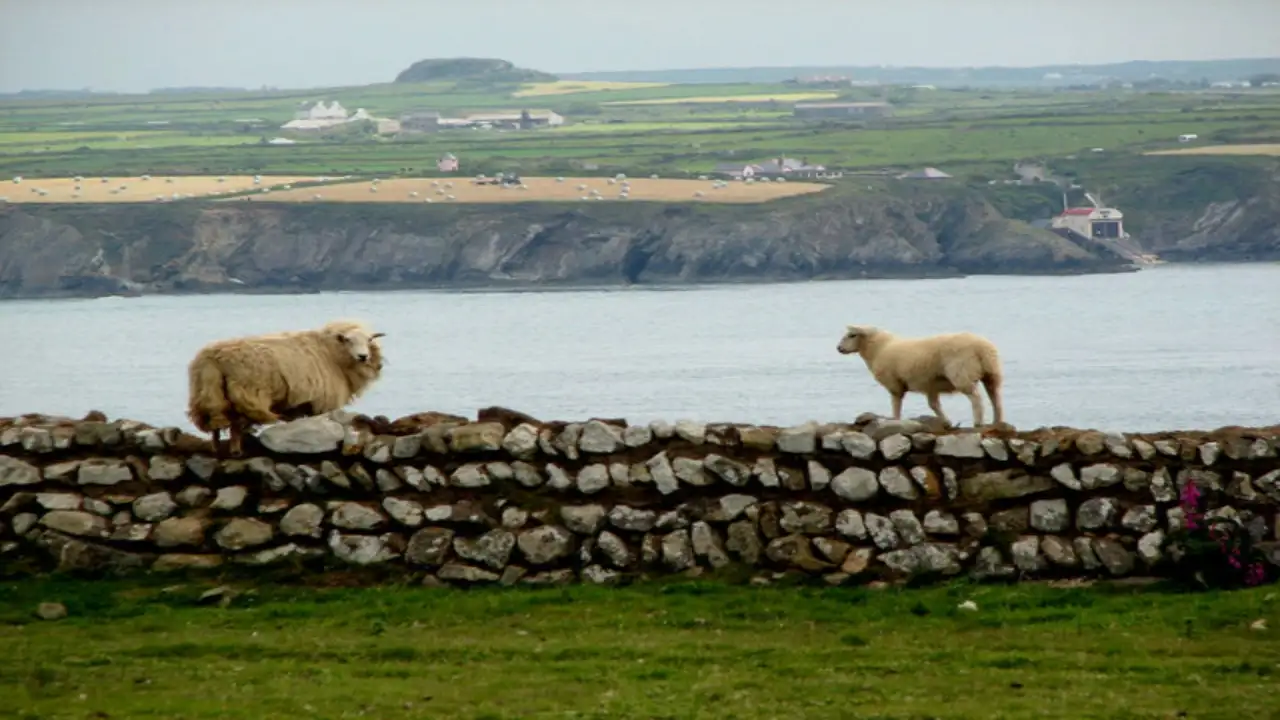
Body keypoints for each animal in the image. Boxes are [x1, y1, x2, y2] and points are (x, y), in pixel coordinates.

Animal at [186, 319, 386, 457]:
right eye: (347, 340)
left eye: (369, 340)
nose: (363, 356)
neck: (329, 353)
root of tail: (212, 358)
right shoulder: (322, 401)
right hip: (244, 394)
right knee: (235, 424)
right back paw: (236, 451)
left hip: (210, 393)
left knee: (216, 423)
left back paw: (216, 448)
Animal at [836, 325, 1004, 428]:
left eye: (852, 335)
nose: (838, 348)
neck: (879, 348)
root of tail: (982, 347)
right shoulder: (930, 385)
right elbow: (934, 405)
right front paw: (946, 422)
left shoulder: (894, 384)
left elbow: (896, 405)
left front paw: (895, 421)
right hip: (991, 373)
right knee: (995, 398)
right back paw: (997, 421)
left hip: (961, 372)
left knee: (976, 398)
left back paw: (978, 422)